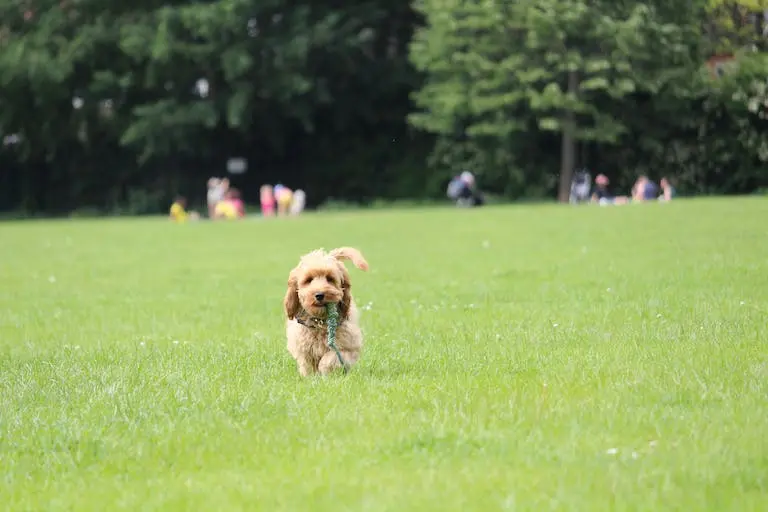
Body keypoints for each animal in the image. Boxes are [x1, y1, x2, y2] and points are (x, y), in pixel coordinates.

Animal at [284, 247, 370, 376]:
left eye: (330, 279)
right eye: (309, 280)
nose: (319, 295)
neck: (320, 322)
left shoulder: (347, 345)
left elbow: (330, 358)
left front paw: (326, 372)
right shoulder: (304, 348)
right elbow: (308, 365)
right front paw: (312, 377)